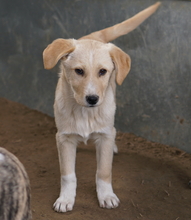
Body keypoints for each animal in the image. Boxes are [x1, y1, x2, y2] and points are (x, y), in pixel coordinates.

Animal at [42, 1, 160, 211]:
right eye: (79, 71)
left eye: (103, 71)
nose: (92, 98)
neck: (84, 112)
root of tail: (94, 36)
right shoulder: (63, 138)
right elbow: (68, 174)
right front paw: (65, 199)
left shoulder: (104, 137)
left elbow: (104, 172)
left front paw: (106, 196)